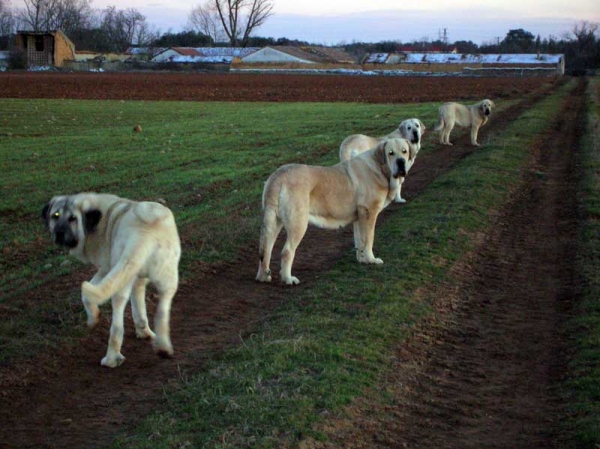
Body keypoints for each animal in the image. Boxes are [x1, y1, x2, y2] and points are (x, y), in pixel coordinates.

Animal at [42, 192, 180, 368]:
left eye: (73, 218)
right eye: (55, 216)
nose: (59, 233)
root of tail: (146, 232)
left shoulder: (106, 270)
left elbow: (86, 295)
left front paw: (93, 319)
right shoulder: (136, 279)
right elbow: (139, 309)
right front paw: (144, 332)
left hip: (120, 278)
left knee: (117, 325)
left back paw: (111, 358)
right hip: (166, 279)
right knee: (163, 311)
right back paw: (163, 347)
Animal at [255, 137, 410, 284]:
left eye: (404, 151)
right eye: (390, 153)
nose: (401, 162)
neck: (379, 168)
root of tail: (278, 176)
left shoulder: (359, 217)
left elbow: (359, 241)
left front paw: (362, 260)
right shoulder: (369, 213)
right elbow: (368, 239)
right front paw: (371, 260)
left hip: (273, 222)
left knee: (265, 250)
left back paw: (263, 276)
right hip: (298, 223)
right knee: (287, 251)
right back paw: (288, 279)